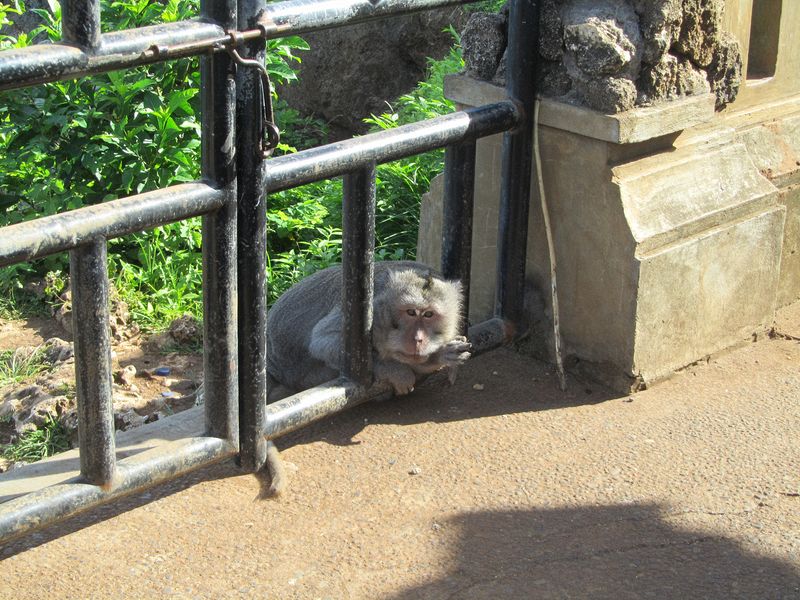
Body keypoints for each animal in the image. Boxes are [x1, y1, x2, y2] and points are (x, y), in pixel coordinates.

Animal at [266, 260, 472, 494]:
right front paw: (394, 369)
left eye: (429, 315)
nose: (418, 339)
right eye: (410, 312)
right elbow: (323, 340)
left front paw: (440, 356)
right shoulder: (364, 316)